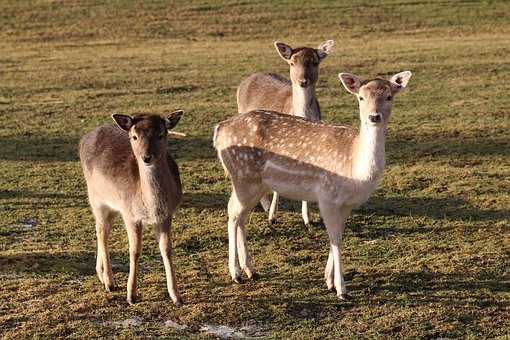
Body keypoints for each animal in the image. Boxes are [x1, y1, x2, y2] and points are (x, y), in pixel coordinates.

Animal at [77, 111, 183, 306]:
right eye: (134, 136)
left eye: (161, 135)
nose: (146, 157)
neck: (151, 206)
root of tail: (85, 137)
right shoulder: (130, 214)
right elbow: (134, 251)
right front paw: (131, 295)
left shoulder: (166, 215)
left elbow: (166, 249)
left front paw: (176, 296)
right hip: (96, 199)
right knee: (102, 233)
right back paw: (109, 282)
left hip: (111, 205)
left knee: (101, 230)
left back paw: (101, 274)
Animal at [213, 71, 412, 298]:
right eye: (361, 98)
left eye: (389, 96)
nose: (374, 117)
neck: (356, 169)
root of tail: (219, 129)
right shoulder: (327, 196)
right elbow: (335, 239)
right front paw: (341, 290)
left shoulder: (347, 204)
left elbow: (339, 235)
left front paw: (329, 281)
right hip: (242, 177)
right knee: (232, 213)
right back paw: (236, 273)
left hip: (255, 184)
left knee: (242, 217)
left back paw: (251, 270)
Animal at [236, 39, 334, 226]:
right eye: (292, 62)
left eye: (315, 62)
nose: (303, 81)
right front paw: (272, 216)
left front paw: (307, 219)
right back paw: (265, 206)